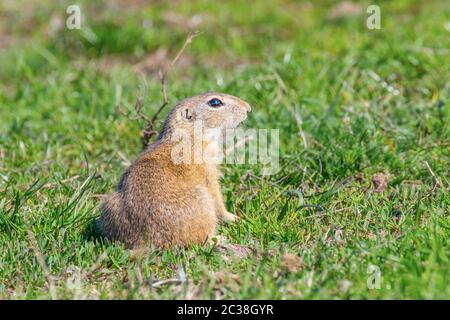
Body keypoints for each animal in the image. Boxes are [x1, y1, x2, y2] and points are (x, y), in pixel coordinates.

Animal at [99, 91, 251, 249]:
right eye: (215, 102)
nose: (248, 108)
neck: (190, 136)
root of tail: (148, 243)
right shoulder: (209, 173)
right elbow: (217, 198)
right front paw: (234, 217)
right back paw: (220, 238)